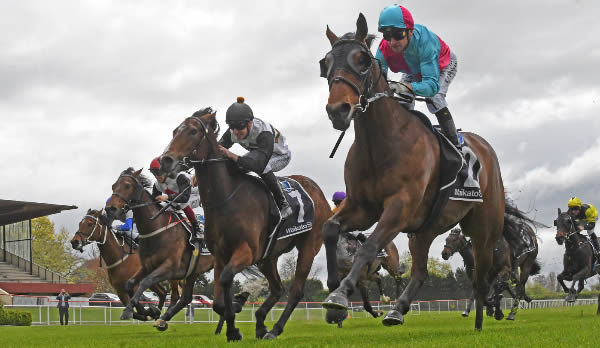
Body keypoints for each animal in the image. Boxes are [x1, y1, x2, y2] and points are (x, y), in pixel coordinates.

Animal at [105, 172, 216, 332]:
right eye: (114, 186)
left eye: (127, 185)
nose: (110, 209)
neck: (157, 229)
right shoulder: (147, 266)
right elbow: (130, 284)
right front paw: (148, 311)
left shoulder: (170, 267)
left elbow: (145, 281)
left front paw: (131, 311)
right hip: (193, 272)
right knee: (186, 298)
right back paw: (163, 320)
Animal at [157, 110, 330, 342]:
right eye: (175, 131)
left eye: (193, 131)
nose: (165, 160)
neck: (226, 199)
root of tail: (318, 192)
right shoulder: (220, 255)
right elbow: (219, 300)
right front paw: (234, 326)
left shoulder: (247, 251)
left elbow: (227, 279)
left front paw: (235, 320)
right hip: (268, 257)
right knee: (277, 288)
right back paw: (260, 324)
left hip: (308, 246)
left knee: (295, 291)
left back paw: (274, 329)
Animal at [318, 13, 506, 330]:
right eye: (325, 63)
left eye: (362, 60)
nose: (338, 110)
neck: (380, 142)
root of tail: (484, 146)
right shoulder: (361, 207)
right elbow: (330, 229)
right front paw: (334, 295)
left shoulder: (399, 206)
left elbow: (369, 245)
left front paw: (340, 295)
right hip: (424, 230)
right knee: (420, 272)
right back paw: (397, 310)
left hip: (485, 227)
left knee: (482, 274)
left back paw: (481, 320)